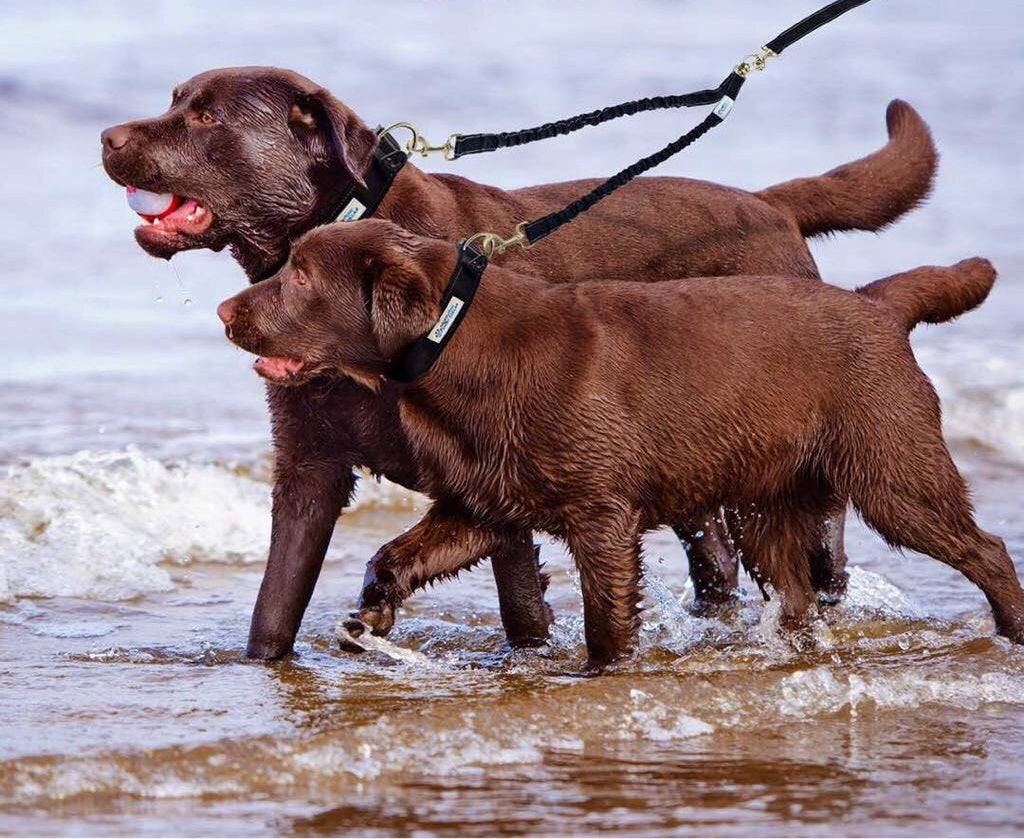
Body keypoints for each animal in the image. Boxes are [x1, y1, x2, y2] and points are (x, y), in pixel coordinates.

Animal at [101, 67, 937, 655]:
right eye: (175, 98)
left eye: (205, 116)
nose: (107, 136)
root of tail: (773, 206)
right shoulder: (311, 470)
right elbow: (273, 611)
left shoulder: (499, 478)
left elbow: (521, 605)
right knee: (717, 559)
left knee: (818, 559)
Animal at [218, 218, 1024, 667]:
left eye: (301, 276)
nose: (225, 310)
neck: (461, 343)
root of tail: (877, 305)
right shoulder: (484, 503)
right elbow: (396, 554)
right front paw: (372, 613)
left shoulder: (601, 515)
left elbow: (606, 621)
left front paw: (601, 678)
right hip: (766, 503)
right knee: (795, 596)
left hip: (894, 476)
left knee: (987, 550)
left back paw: (1014, 631)